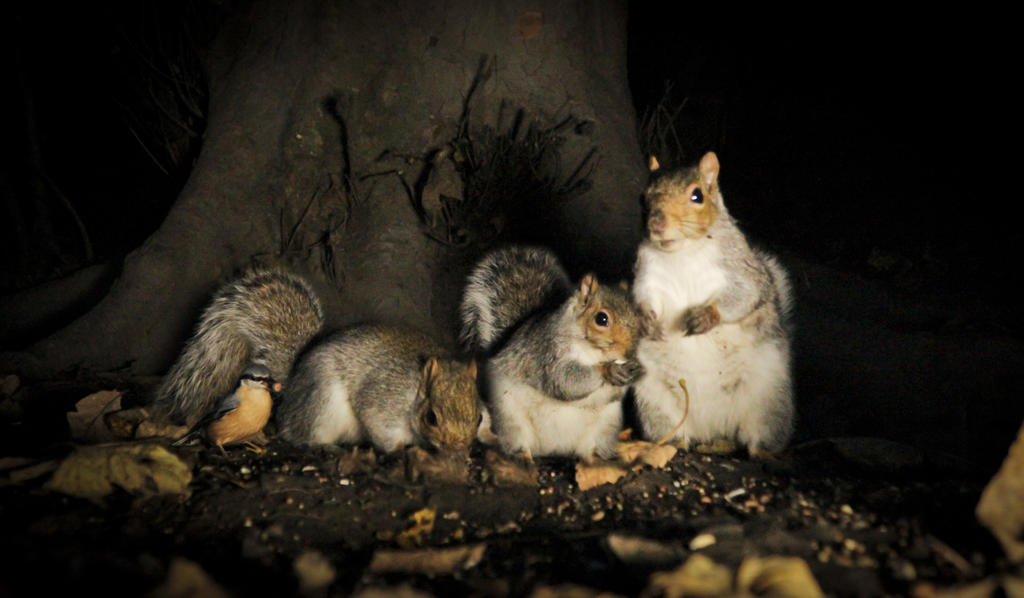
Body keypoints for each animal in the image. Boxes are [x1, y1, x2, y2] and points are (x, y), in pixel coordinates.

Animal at [276, 325, 483, 454]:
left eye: (480, 418)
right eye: (431, 418)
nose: (459, 449)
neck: (415, 390)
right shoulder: (385, 397)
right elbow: (378, 424)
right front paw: (397, 450)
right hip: (321, 401)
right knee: (305, 433)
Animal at [462, 245, 647, 460]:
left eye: (639, 316)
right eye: (601, 319)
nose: (630, 352)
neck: (595, 352)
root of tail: (553, 448)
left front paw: (636, 370)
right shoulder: (549, 353)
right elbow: (565, 379)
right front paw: (608, 370)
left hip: (605, 427)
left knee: (589, 450)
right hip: (511, 419)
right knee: (518, 444)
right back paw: (524, 457)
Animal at [626, 151, 794, 454]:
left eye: (697, 196)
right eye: (642, 198)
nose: (656, 222)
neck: (682, 250)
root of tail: (715, 428)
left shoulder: (740, 270)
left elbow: (745, 295)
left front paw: (706, 316)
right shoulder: (647, 276)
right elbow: (642, 299)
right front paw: (646, 321)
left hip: (769, 404)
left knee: (760, 437)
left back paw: (762, 453)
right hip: (655, 403)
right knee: (674, 433)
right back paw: (672, 445)